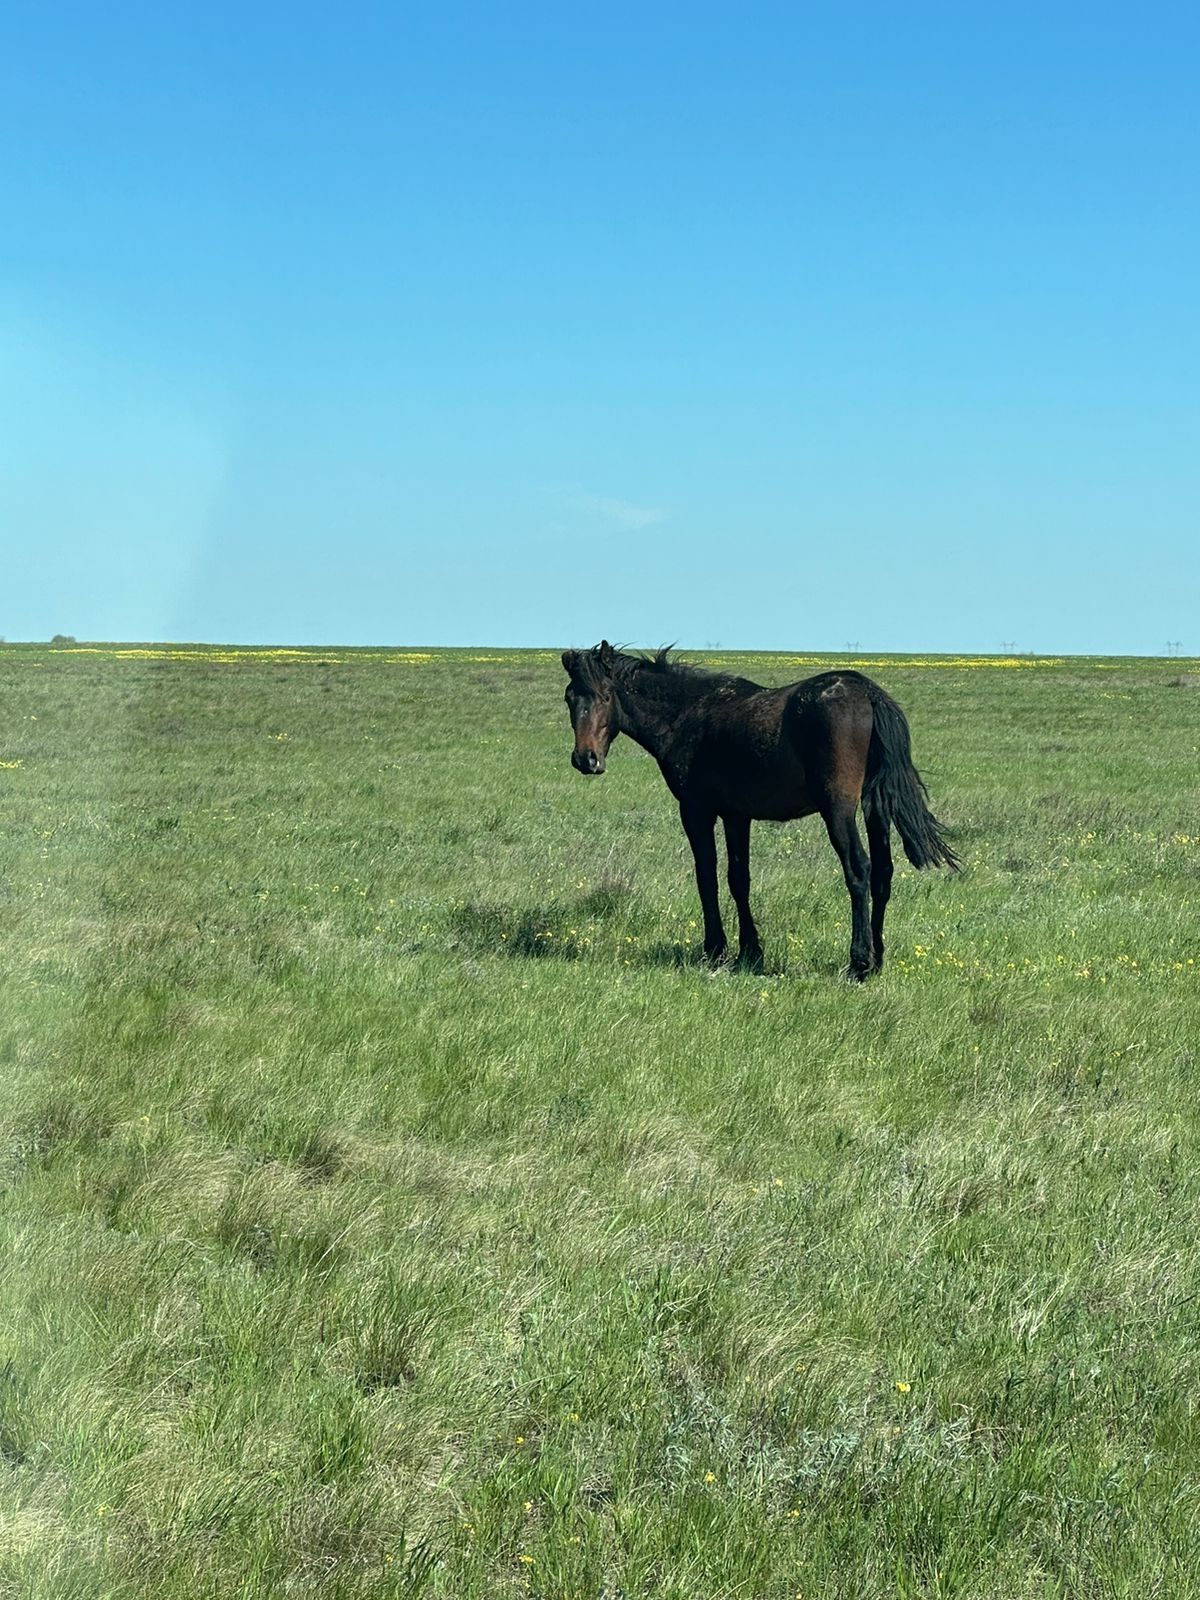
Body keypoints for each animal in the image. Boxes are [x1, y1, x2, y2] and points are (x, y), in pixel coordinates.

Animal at [563, 643, 960, 979]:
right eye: (570, 698)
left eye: (605, 695)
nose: (586, 759)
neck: (686, 714)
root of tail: (867, 692)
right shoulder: (736, 816)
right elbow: (739, 880)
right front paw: (750, 953)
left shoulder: (696, 811)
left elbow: (706, 877)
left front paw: (716, 950)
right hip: (874, 806)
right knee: (882, 872)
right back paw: (876, 960)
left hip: (839, 810)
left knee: (859, 870)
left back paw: (859, 964)